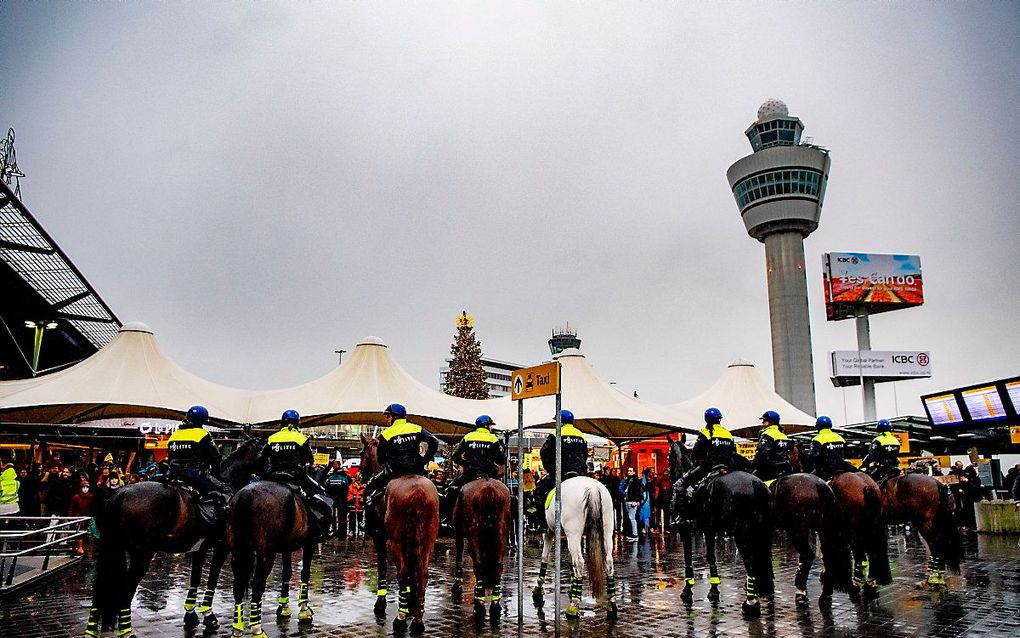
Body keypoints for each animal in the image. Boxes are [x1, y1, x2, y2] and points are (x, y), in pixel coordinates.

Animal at [359, 430, 438, 632]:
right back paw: (417, 620)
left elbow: (382, 568)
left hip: (397, 541)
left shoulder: (379, 537)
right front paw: (410, 604)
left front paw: (381, 603)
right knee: (422, 572)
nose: (360, 477)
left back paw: (400, 620)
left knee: (402, 571)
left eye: (362, 454)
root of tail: (418, 492)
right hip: (426, 540)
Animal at [450, 477, 510, 620]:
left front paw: (457, 585)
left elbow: (459, 556)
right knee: (498, 567)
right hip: (502, 536)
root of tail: (489, 490)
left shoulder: (458, 533)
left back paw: (479, 606)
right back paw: (494, 606)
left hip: (474, 535)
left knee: (478, 566)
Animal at [530, 477, 616, 616]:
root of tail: (592, 488)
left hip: (573, 533)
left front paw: (538, 588)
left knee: (580, 562)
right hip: (606, 533)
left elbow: (544, 557)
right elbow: (571, 562)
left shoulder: (549, 532)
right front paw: (572, 587)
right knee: (608, 561)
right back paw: (611, 605)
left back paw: (574, 606)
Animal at [669, 451, 771, 616]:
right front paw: (714, 590)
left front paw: (688, 590)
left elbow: (691, 560)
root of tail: (755, 484)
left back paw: (750, 603)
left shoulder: (689, 530)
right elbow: (710, 557)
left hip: (741, 533)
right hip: (763, 531)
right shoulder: (709, 530)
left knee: (750, 561)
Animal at [771, 473, 852, 608]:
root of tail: (820, 485)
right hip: (824, 530)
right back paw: (825, 597)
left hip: (797, 530)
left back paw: (801, 593)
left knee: (807, 555)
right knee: (828, 558)